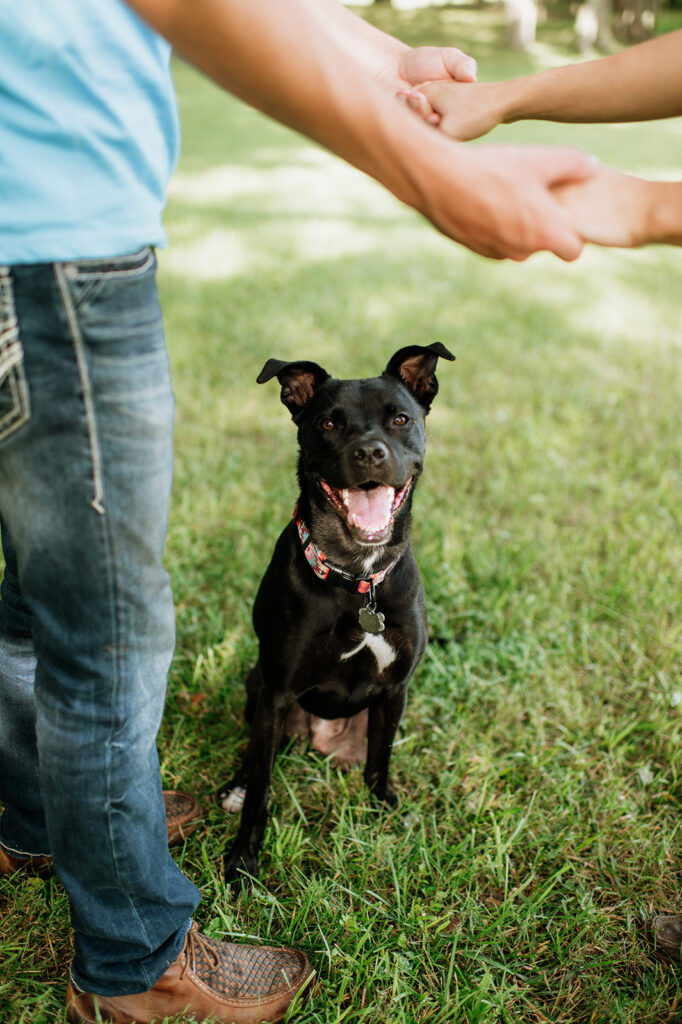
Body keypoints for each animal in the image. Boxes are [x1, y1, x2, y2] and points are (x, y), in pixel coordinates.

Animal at [218, 339, 450, 884]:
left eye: (401, 419)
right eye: (328, 423)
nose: (369, 452)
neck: (356, 575)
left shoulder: (395, 690)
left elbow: (379, 761)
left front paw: (382, 809)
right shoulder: (278, 693)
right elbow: (262, 789)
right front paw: (243, 860)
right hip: (258, 687)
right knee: (255, 758)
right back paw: (236, 786)